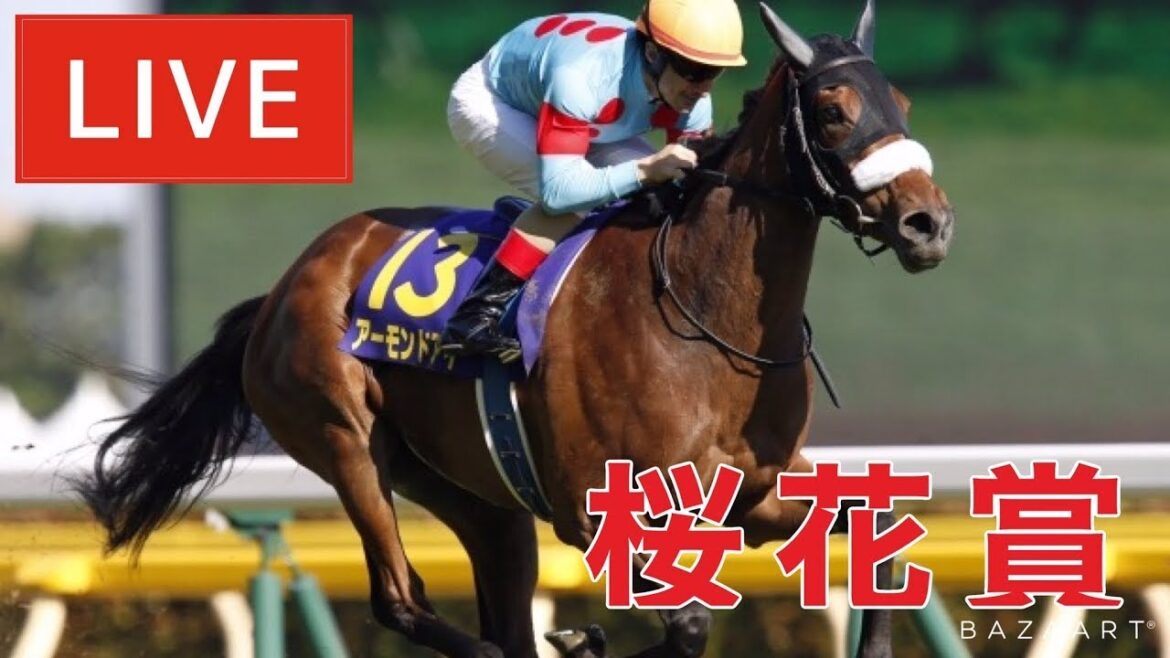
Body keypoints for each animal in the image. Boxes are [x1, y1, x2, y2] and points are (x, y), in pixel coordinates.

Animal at [76, 2, 953, 657]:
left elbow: (878, 535)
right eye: (834, 112)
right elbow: (689, 623)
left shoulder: (755, 494)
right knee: (401, 599)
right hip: (344, 440)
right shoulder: (600, 512)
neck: (703, 322)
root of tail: (284, 286)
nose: (927, 223)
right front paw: (587, 640)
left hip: (470, 492)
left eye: (903, 106)